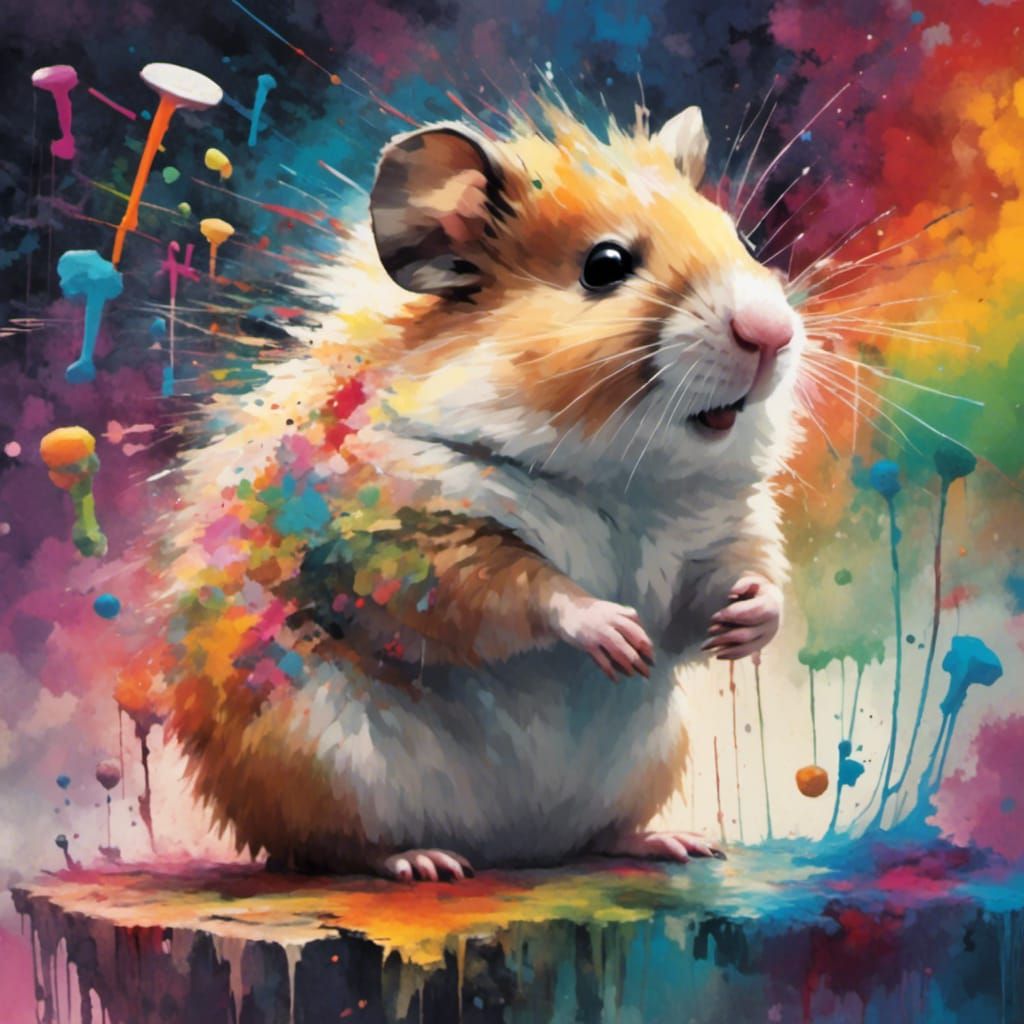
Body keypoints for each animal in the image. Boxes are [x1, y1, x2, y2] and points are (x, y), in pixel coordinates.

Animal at [157, 100, 804, 879]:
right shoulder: (410, 534)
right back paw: (420, 861)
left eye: (742, 237)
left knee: (596, 834)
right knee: (326, 847)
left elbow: (741, 579)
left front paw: (747, 621)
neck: (625, 479)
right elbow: (520, 587)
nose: (772, 333)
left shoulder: (725, 528)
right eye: (605, 266)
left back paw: (669, 842)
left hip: (652, 757)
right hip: (314, 755)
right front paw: (618, 637)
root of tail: (512, 846)